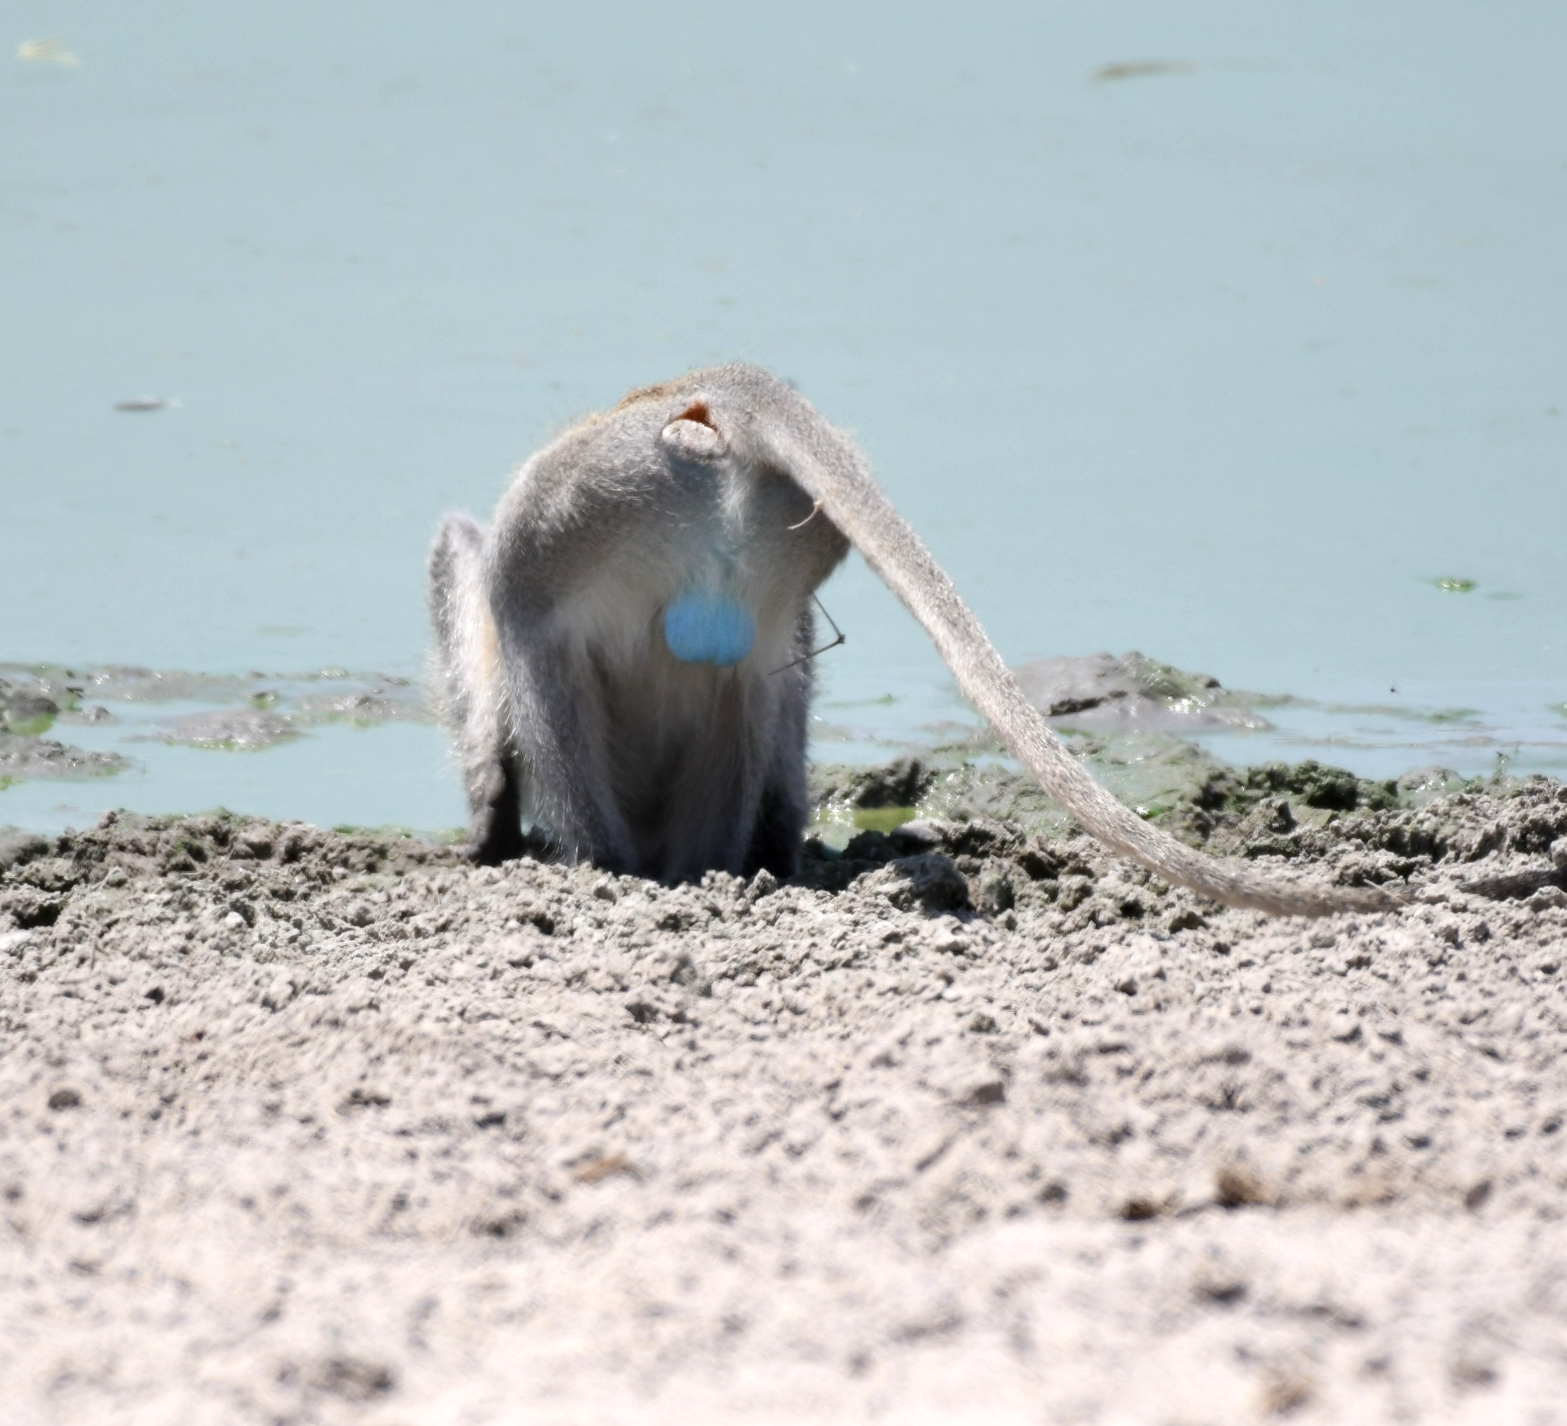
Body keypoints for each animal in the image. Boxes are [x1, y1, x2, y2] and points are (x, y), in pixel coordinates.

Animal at [426, 368, 1397, 921]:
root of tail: (719, 390)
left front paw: (489, 828)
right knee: (755, 678)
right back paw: (711, 869)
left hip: (579, 510)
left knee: (512, 605)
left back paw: (608, 869)